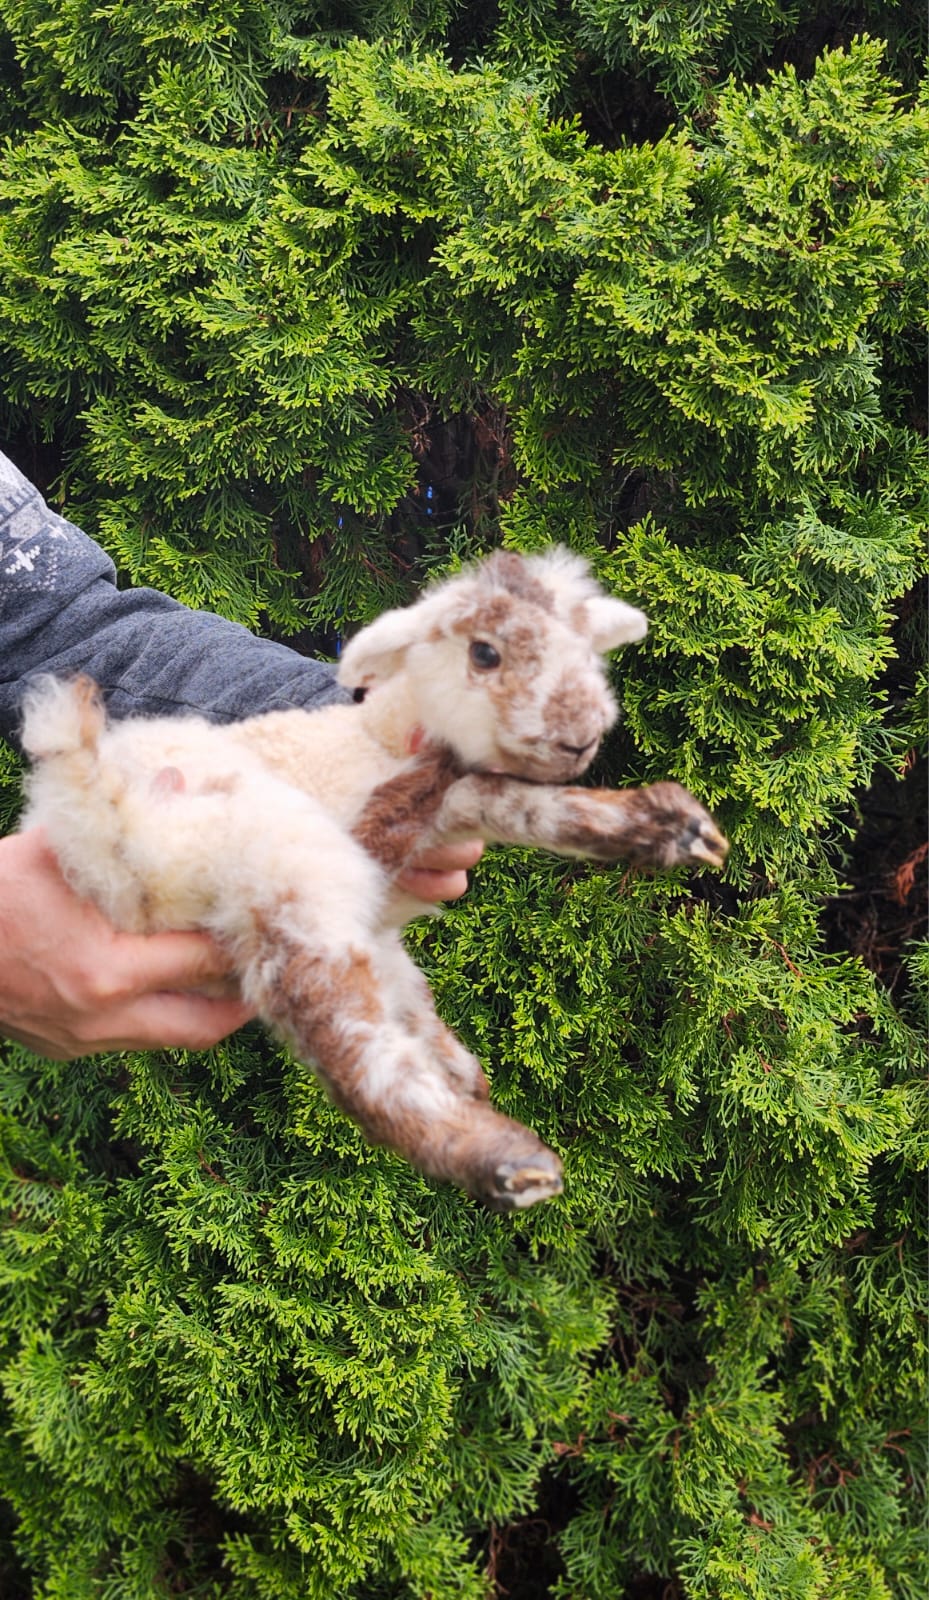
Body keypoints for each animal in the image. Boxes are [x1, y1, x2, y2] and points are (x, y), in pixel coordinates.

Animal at [19, 547, 728, 1210]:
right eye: (485, 653)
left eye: (584, 648)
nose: (579, 736)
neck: (377, 738)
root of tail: (100, 835)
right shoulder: (381, 821)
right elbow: (466, 791)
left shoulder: (449, 817)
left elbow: (521, 805)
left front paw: (674, 831)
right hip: (284, 876)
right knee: (352, 1048)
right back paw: (500, 1160)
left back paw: (461, 1077)